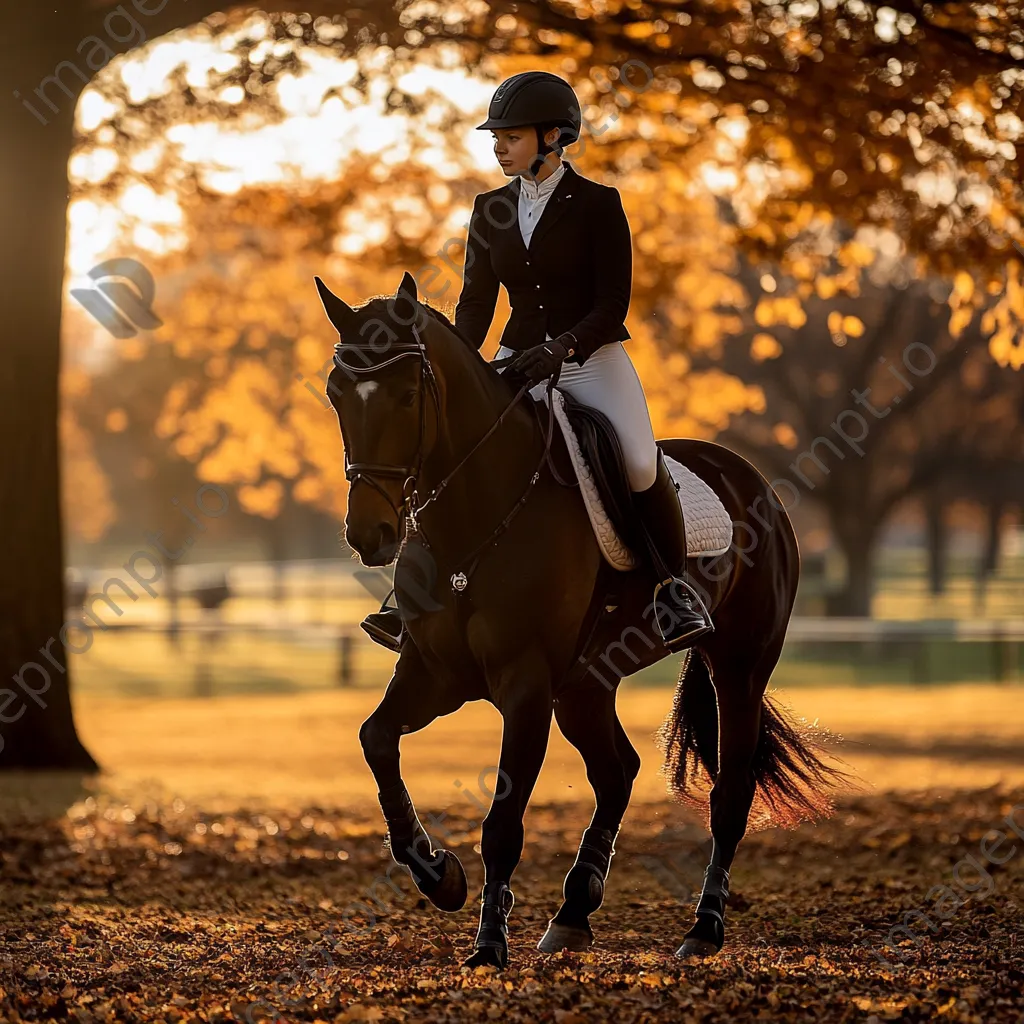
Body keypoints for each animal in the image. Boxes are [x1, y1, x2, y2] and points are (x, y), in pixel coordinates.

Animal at [313, 266, 839, 966]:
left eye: (406, 395)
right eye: (336, 393)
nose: (369, 535)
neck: (475, 516)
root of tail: (752, 480)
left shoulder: (526, 686)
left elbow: (503, 823)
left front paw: (488, 945)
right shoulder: (435, 674)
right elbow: (376, 740)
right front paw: (437, 873)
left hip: (739, 669)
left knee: (729, 795)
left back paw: (702, 929)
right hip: (586, 686)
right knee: (617, 771)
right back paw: (572, 912)